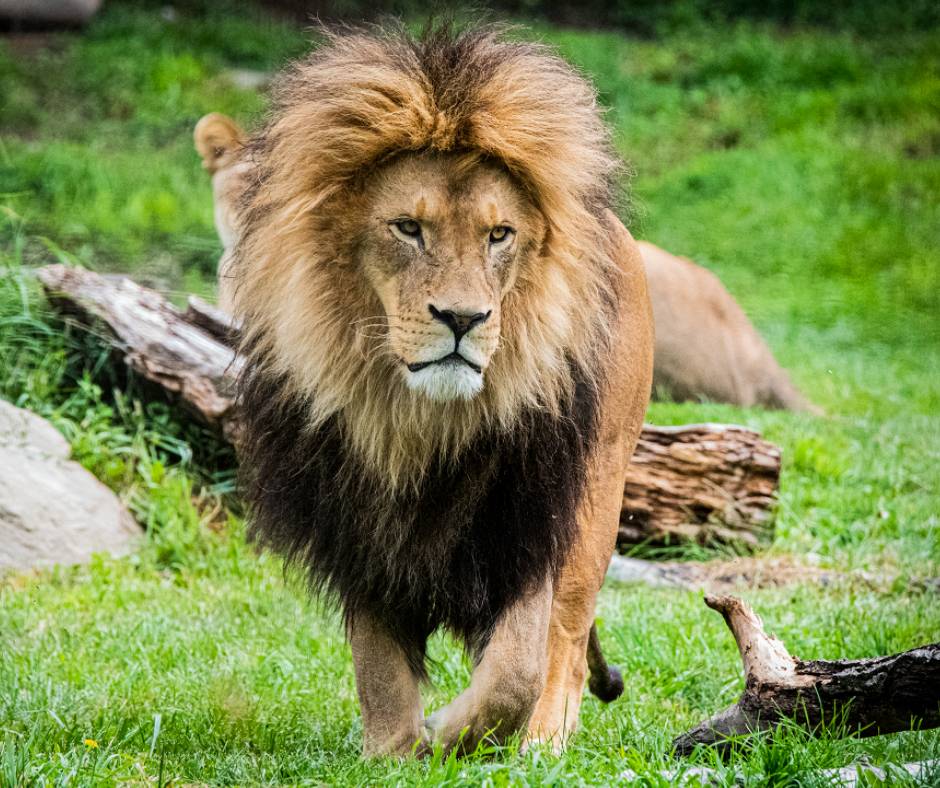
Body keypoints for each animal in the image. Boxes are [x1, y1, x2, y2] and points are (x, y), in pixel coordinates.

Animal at [205, 24, 654, 757]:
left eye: (499, 235)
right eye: (408, 228)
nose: (463, 319)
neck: (417, 418)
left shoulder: (529, 507)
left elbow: (518, 668)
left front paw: (453, 732)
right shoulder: (353, 511)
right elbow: (377, 658)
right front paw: (392, 749)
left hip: (600, 484)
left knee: (564, 635)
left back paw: (543, 741)